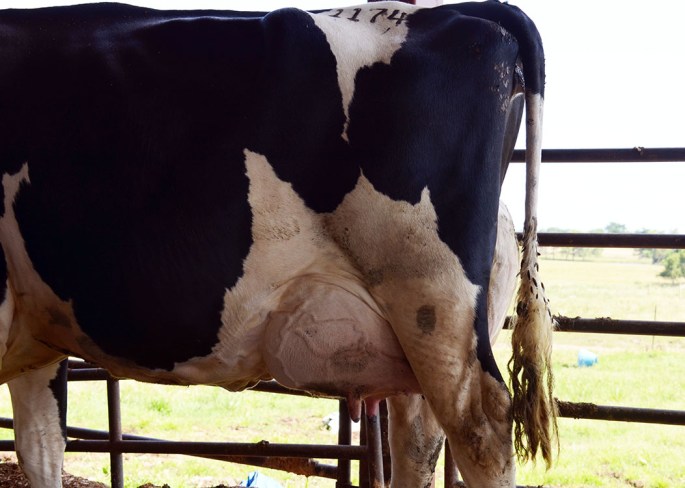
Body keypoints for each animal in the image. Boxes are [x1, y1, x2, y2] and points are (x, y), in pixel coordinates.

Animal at [0, 2, 556, 487]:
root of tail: (460, 11)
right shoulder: (37, 335)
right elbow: (42, 447)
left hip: (434, 303)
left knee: (482, 429)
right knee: (418, 436)